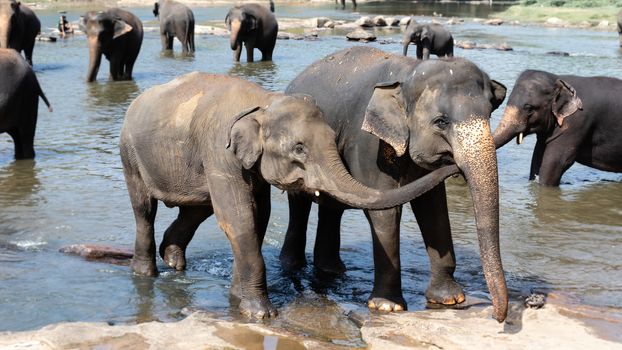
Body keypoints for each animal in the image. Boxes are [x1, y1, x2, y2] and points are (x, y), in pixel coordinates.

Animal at [120, 72, 464, 318]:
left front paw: (238, 299)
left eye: (332, 139)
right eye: (299, 149)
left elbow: (258, 216)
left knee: (197, 207)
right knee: (144, 209)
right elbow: (239, 218)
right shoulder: (219, 151)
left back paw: (173, 260)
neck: (264, 102)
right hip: (130, 155)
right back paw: (145, 272)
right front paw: (261, 313)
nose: (454, 164)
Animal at [282, 46, 512, 322]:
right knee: (298, 206)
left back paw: (332, 269)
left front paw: (449, 299)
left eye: (488, 114)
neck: (409, 70)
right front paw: (387, 307)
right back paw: (292, 265)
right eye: (441, 122)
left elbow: (434, 208)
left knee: (331, 209)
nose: (497, 317)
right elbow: (385, 211)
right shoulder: (368, 144)